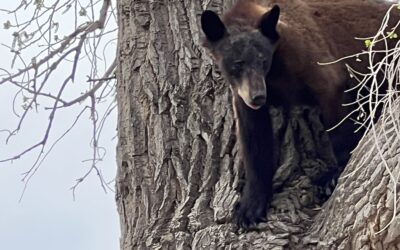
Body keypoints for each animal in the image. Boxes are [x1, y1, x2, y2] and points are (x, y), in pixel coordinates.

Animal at [202, 0, 396, 229]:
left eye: (263, 60)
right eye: (238, 63)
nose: (258, 96)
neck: (275, 72)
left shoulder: (307, 55)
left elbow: (336, 107)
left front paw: (332, 176)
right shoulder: (242, 96)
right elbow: (254, 139)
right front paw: (249, 209)